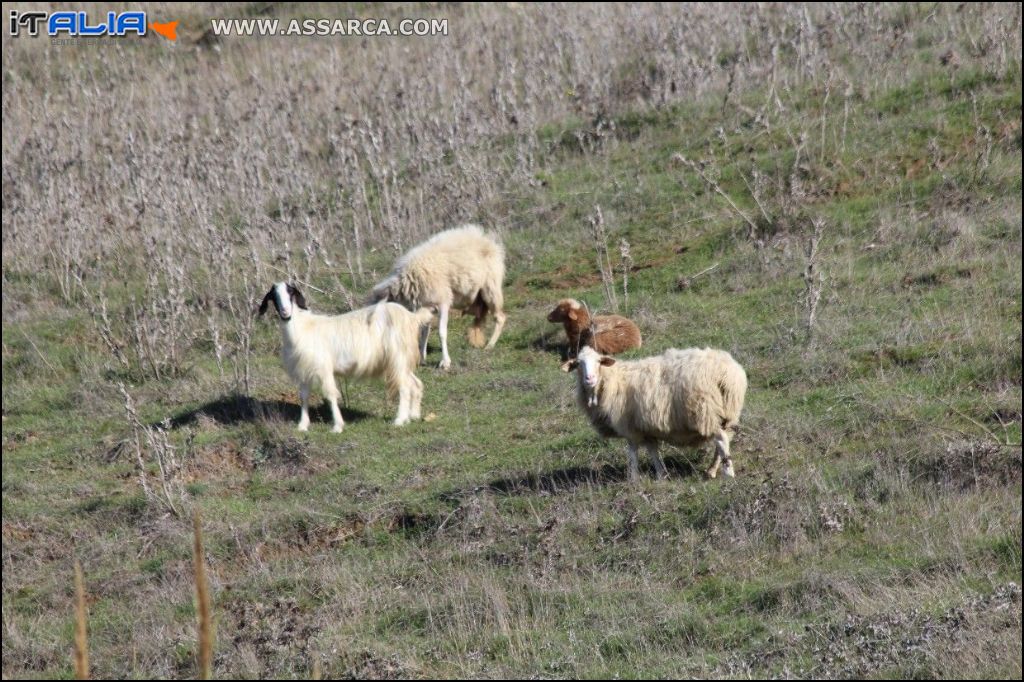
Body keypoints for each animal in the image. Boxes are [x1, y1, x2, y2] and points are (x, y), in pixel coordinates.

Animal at [258, 280, 434, 430]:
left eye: (290, 293)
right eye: (274, 296)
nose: (285, 312)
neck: (303, 328)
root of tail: (412, 317)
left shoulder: (323, 368)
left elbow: (330, 395)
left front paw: (337, 426)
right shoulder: (304, 369)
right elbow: (304, 396)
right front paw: (302, 425)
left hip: (397, 357)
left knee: (404, 387)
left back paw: (399, 420)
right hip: (402, 362)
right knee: (416, 383)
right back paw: (413, 416)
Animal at [372, 224, 507, 368]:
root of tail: (488, 239)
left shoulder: (442, 303)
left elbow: (442, 333)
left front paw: (445, 362)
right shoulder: (426, 306)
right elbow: (424, 332)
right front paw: (422, 358)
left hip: (491, 290)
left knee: (500, 317)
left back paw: (490, 346)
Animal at [565, 346, 749, 477]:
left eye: (599, 362)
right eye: (578, 364)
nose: (589, 379)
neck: (613, 381)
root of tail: (727, 373)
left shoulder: (630, 427)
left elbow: (633, 453)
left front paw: (633, 478)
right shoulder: (646, 428)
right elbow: (653, 451)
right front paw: (661, 474)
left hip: (705, 412)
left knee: (721, 439)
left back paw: (728, 473)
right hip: (728, 413)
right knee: (724, 441)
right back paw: (712, 470)